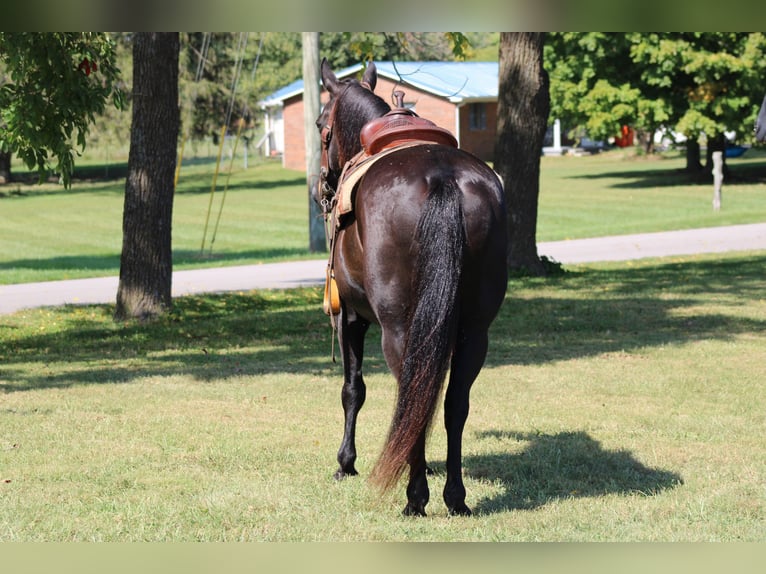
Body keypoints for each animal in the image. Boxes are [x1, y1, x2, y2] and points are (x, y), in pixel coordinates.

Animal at [316, 60, 508, 520]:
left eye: (319, 123)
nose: (321, 187)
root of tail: (442, 178)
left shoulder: (350, 316)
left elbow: (353, 390)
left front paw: (345, 463)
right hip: (474, 332)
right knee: (454, 402)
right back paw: (455, 497)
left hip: (398, 328)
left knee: (412, 393)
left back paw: (415, 498)